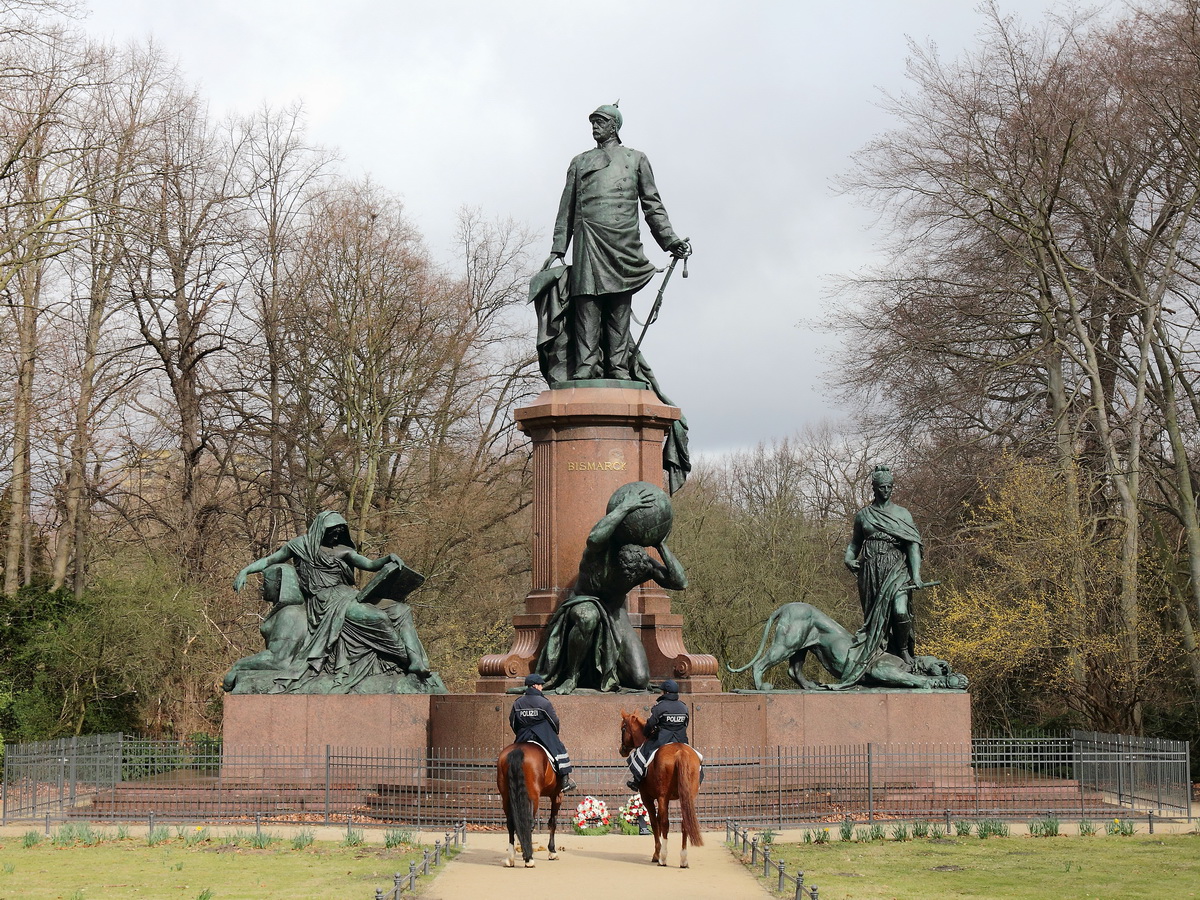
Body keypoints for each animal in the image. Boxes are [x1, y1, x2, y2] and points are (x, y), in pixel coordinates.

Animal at [619, 715, 700, 868]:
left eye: (623, 728)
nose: (622, 750)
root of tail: (679, 752)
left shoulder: (648, 798)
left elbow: (654, 822)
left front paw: (657, 854)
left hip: (663, 797)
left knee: (664, 823)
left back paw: (662, 858)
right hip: (688, 798)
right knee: (684, 823)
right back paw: (683, 859)